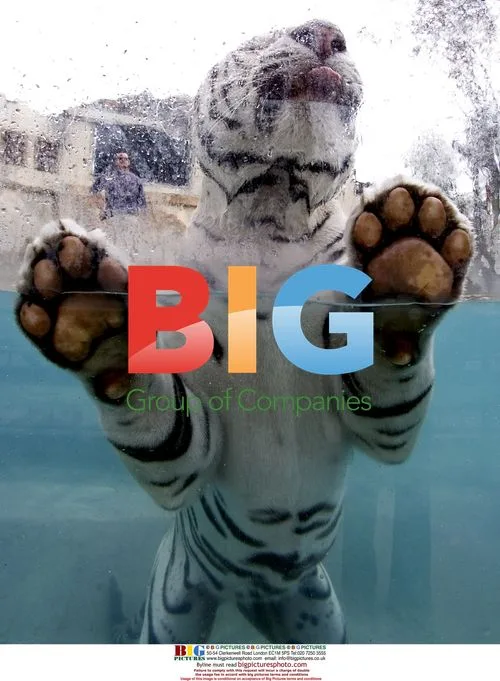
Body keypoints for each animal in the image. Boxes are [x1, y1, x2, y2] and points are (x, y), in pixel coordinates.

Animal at [15, 19, 473, 644]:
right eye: (259, 39)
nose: (325, 31)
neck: (270, 219)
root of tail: (255, 591)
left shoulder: (383, 428)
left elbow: (389, 374)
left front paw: (410, 256)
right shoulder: (189, 458)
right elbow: (153, 421)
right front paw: (88, 314)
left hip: (320, 619)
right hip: (171, 613)